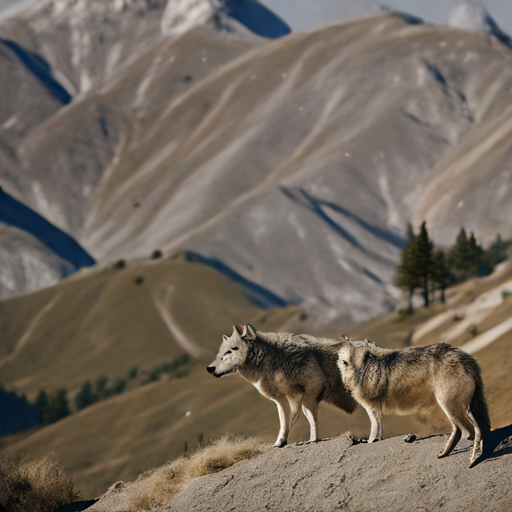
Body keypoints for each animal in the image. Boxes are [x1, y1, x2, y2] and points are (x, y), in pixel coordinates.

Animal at [207, 326, 356, 446]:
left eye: (232, 350)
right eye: (220, 351)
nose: (209, 368)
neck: (275, 360)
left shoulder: (308, 394)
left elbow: (308, 419)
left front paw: (312, 440)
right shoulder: (282, 400)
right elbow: (285, 421)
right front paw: (280, 442)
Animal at [338, 338, 490, 466]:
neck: (364, 365)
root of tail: (465, 357)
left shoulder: (372, 407)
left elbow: (374, 429)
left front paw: (370, 441)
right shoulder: (376, 408)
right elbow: (379, 430)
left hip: (448, 403)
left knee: (468, 428)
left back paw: (464, 456)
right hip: (460, 404)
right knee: (470, 429)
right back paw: (448, 453)